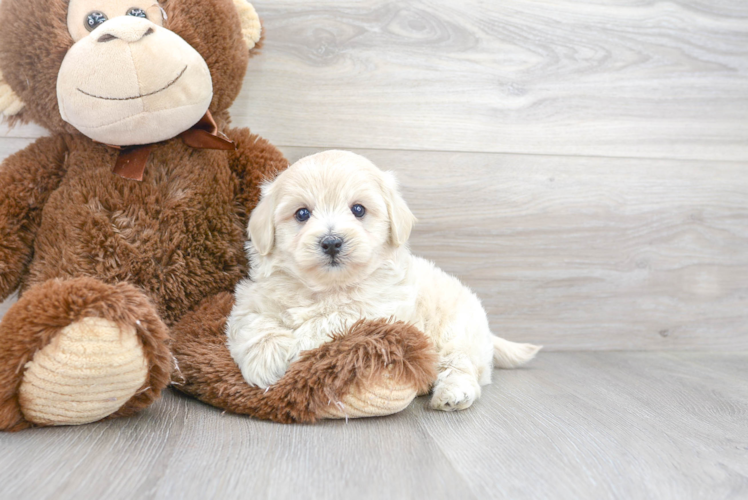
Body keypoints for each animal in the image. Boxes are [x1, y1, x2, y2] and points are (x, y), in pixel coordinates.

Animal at [225, 149, 540, 410]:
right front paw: (265, 360)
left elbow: (327, 321)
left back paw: (453, 394)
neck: (328, 288)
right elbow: (253, 323)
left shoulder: (374, 311)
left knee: (463, 366)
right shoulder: (250, 300)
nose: (331, 242)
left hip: (456, 332)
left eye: (358, 210)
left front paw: (298, 344)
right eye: (302, 213)